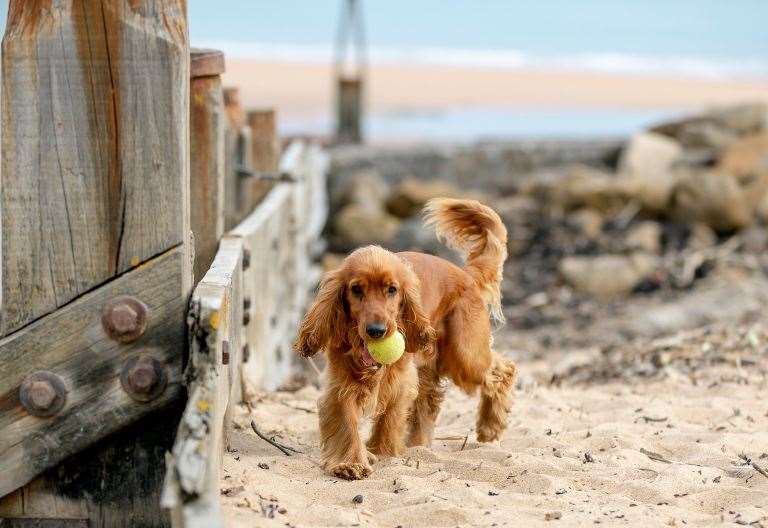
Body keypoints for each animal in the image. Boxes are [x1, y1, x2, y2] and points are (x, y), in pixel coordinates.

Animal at [294, 197, 516, 478]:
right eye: (356, 290)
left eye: (392, 290)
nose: (376, 331)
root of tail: (466, 274)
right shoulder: (341, 383)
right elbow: (347, 421)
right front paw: (351, 462)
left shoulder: (399, 379)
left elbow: (390, 416)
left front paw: (382, 451)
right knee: (430, 400)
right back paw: (419, 445)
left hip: (464, 356)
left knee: (503, 369)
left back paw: (490, 428)